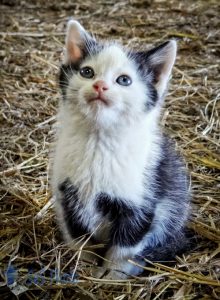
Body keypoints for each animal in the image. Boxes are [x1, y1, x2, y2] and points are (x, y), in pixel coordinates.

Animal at [52, 19, 191, 278]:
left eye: (124, 80)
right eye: (87, 72)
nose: (100, 85)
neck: (98, 142)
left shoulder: (142, 202)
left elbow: (125, 245)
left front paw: (115, 275)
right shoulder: (67, 195)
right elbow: (80, 238)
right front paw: (84, 267)